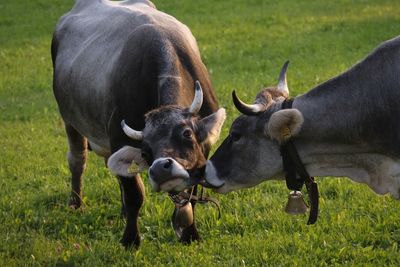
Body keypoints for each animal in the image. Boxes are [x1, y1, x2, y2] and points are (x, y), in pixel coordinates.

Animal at [50, 0, 225, 249]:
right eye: (145, 151)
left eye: (187, 134)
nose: (162, 169)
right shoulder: (119, 138)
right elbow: (135, 194)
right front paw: (130, 239)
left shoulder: (204, 148)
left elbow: (190, 191)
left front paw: (189, 233)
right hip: (70, 119)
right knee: (78, 160)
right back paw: (76, 203)